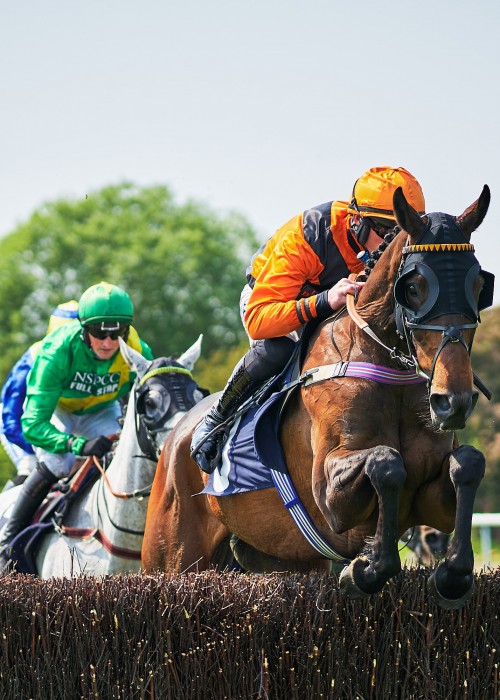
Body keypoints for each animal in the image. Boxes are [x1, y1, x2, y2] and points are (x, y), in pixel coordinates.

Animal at [142, 186, 494, 610]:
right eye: (413, 288)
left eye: (479, 287)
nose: (452, 401)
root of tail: (176, 436)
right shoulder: (329, 496)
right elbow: (386, 462)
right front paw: (366, 569)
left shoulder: (431, 499)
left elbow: (468, 464)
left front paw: (453, 574)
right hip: (171, 557)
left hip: (283, 557)